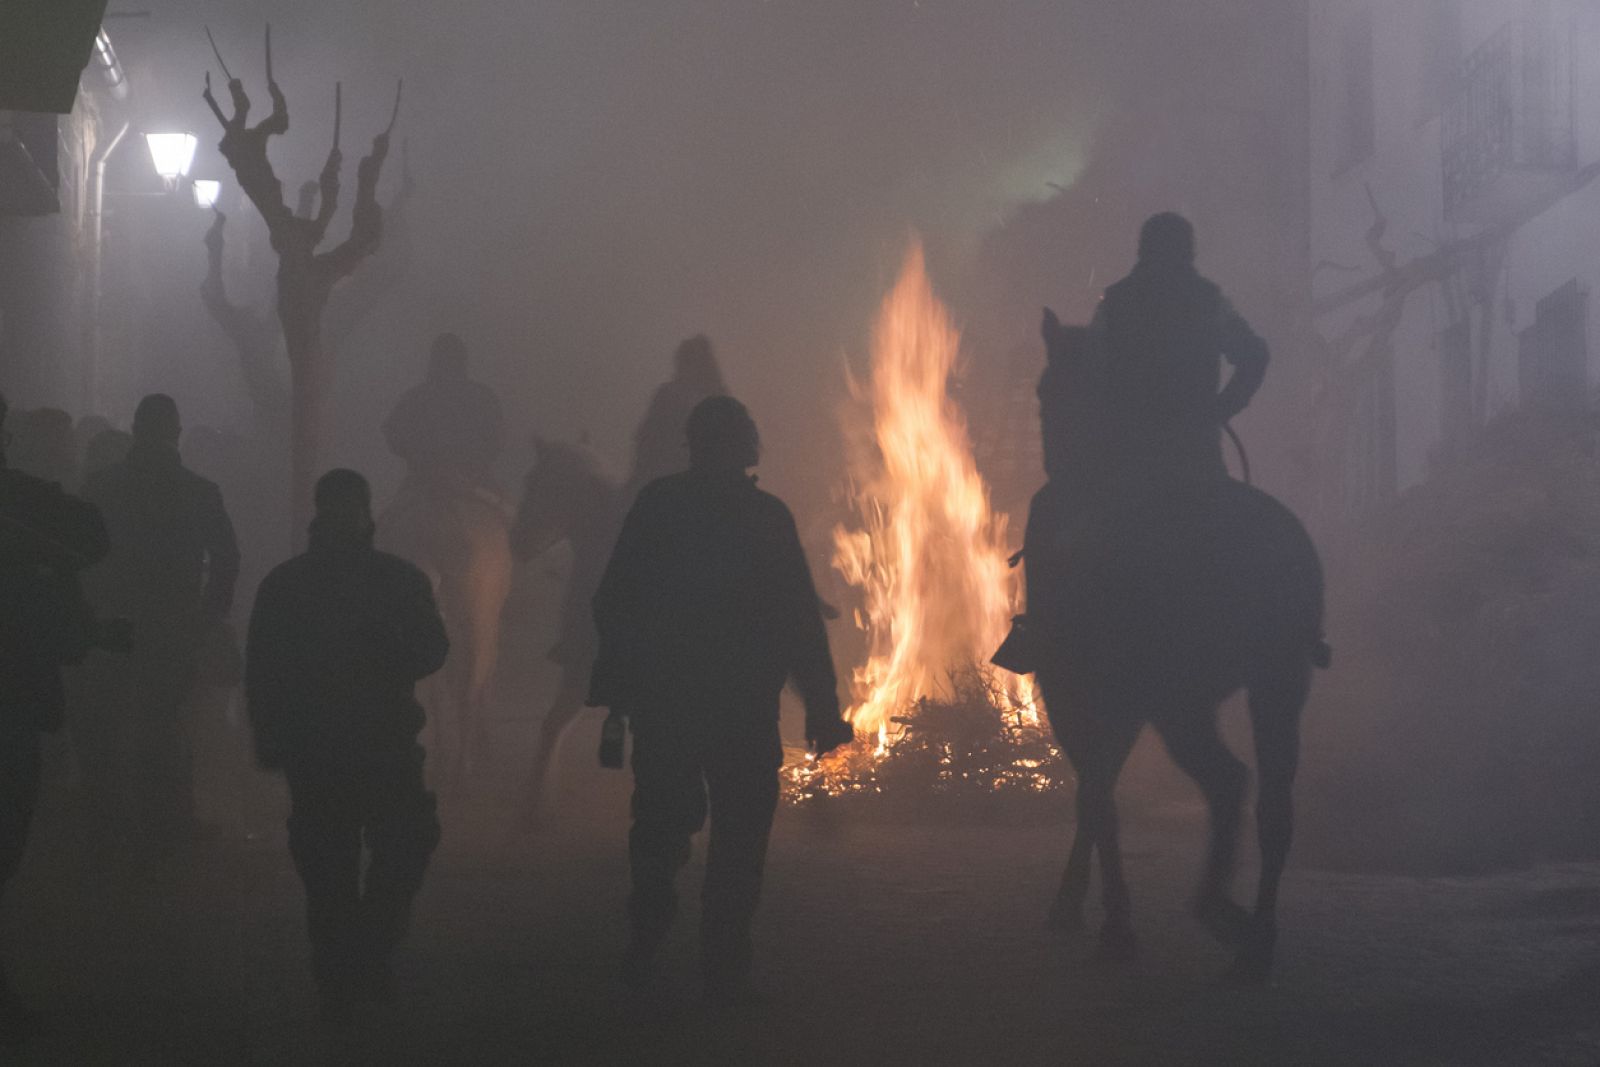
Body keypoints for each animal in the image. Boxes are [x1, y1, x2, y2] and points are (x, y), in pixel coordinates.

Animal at [1024, 303, 1324, 979]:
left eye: (1045, 392)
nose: (1052, 464)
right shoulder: (1122, 702)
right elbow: (1097, 789)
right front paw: (1084, 906)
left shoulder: (1076, 690)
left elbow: (1095, 794)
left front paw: (1106, 920)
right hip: (1273, 681)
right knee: (1271, 803)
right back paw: (1255, 936)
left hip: (1175, 698)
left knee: (1227, 782)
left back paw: (1219, 913)